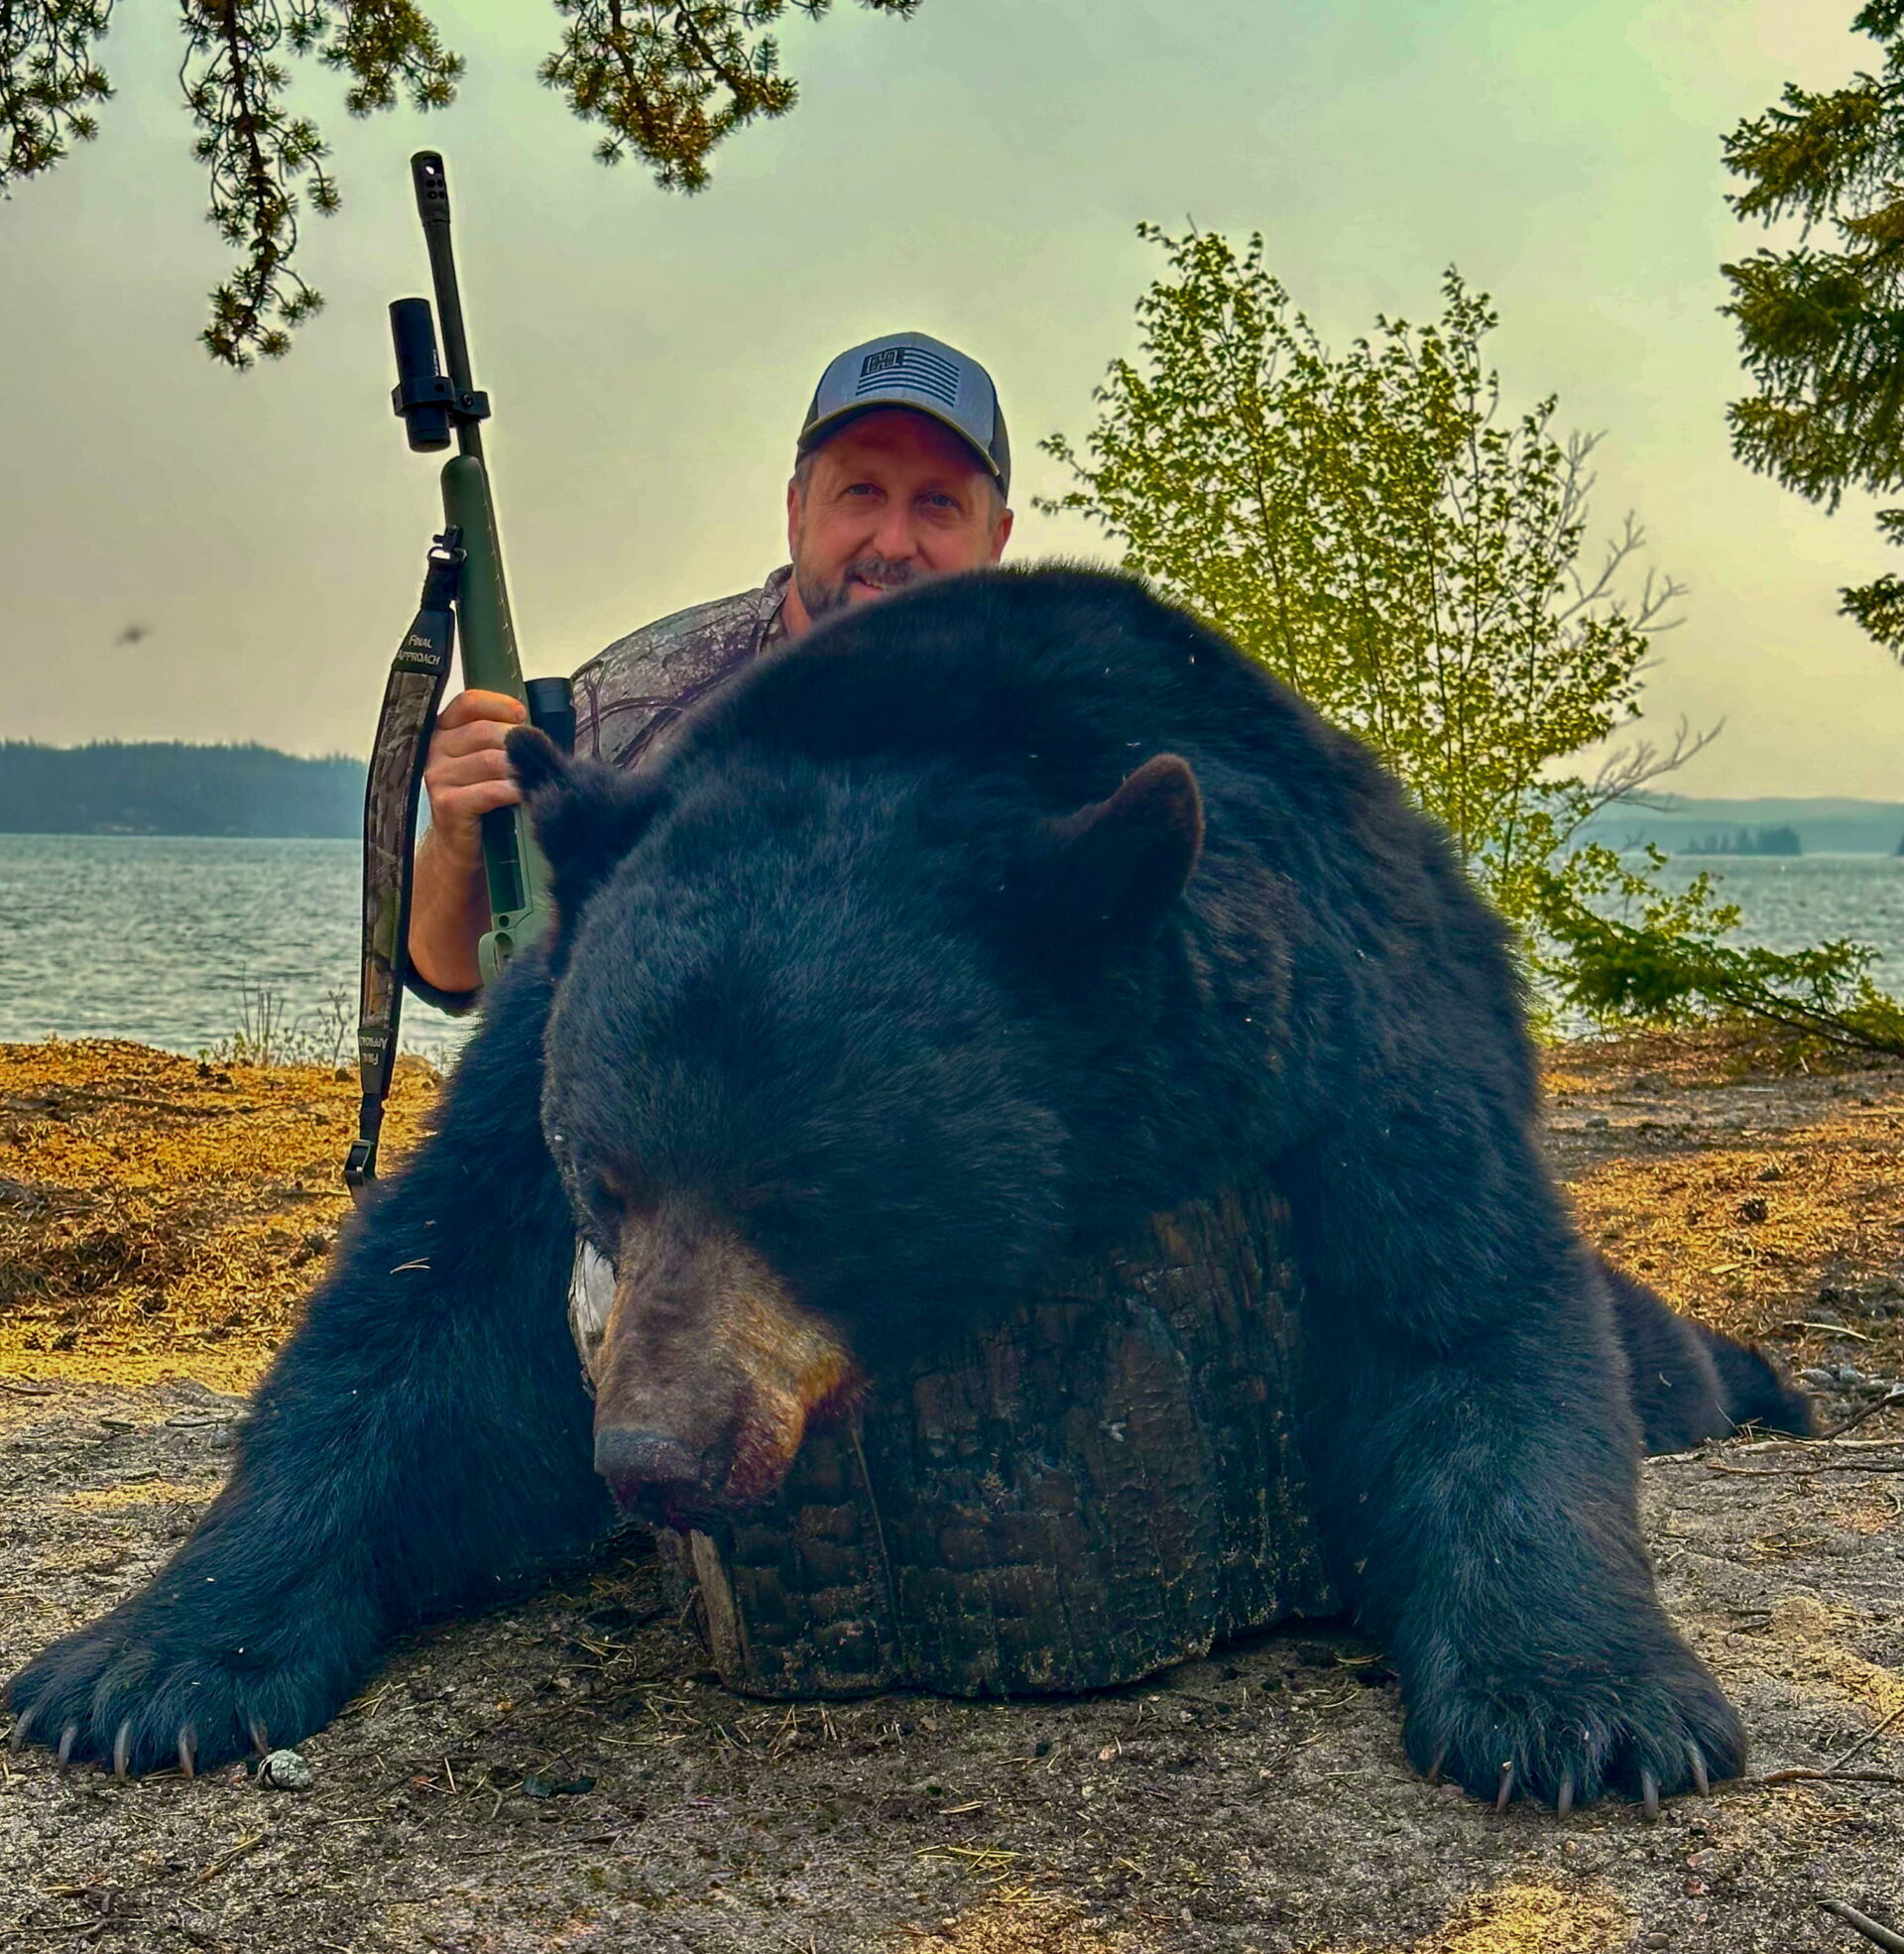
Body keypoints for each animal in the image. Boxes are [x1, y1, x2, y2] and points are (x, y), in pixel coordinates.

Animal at [7, 565, 1809, 1811]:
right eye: (609, 1178)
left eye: (814, 1193)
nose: (649, 1454)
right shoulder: (545, 1025)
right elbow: (423, 1326)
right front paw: (141, 1668)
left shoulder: (1361, 1011)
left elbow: (1470, 1317)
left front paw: (1588, 1710)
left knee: (1648, 1353)